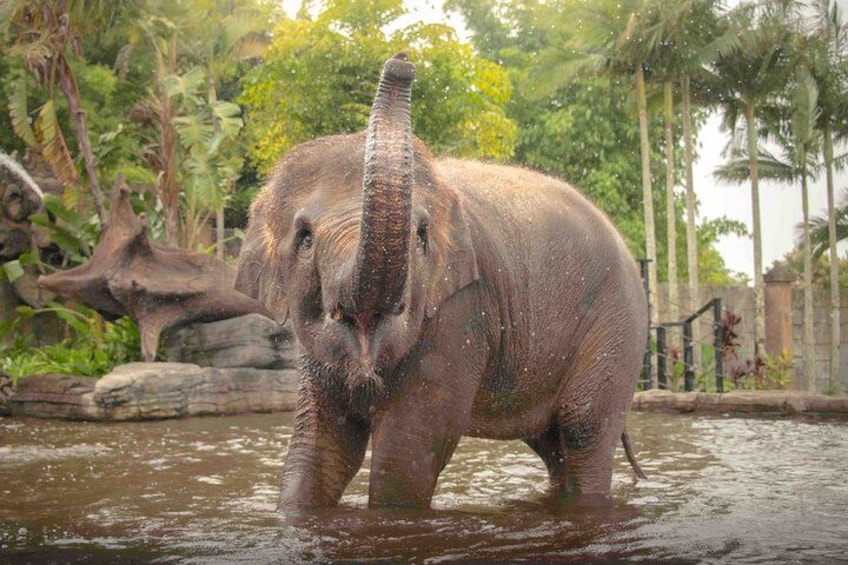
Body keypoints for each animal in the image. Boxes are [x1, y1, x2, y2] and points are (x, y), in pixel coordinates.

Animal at [236, 53, 648, 511]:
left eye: (420, 236)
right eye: (305, 238)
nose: (401, 60)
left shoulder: (462, 310)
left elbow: (409, 447)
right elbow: (323, 443)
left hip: (618, 324)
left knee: (582, 426)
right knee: (551, 441)